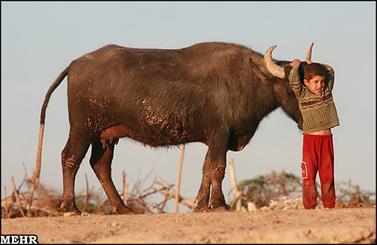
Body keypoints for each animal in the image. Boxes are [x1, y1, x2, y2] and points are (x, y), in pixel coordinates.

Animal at [34, 42, 308, 214]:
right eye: (293, 87)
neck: (250, 79)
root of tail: (75, 64)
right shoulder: (220, 136)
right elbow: (217, 169)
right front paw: (219, 204)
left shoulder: (214, 140)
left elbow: (207, 169)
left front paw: (200, 204)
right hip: (82, 128)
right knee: (70, 157)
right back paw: (70, 206)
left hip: (105, 135)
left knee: (100, 165)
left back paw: (122, 208)